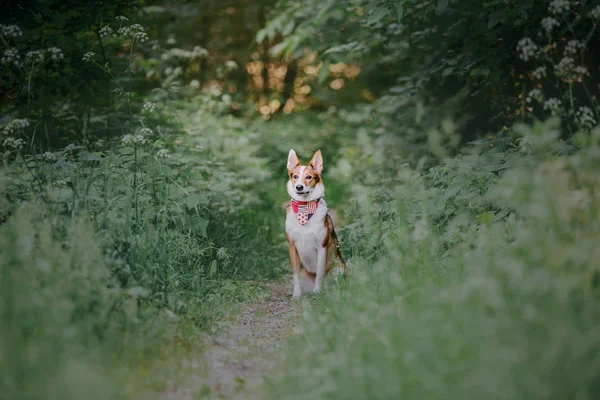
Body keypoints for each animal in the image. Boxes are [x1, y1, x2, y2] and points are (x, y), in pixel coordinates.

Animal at [286, 149, 346, 296]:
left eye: (309, 177)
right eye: (295, 176)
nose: (299, 187)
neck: (304, 207)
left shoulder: (321, 247)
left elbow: (319, 273)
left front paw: (317, 291)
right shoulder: (292, 247)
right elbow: (294, 275)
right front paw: (296, 294)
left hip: (339, 267)